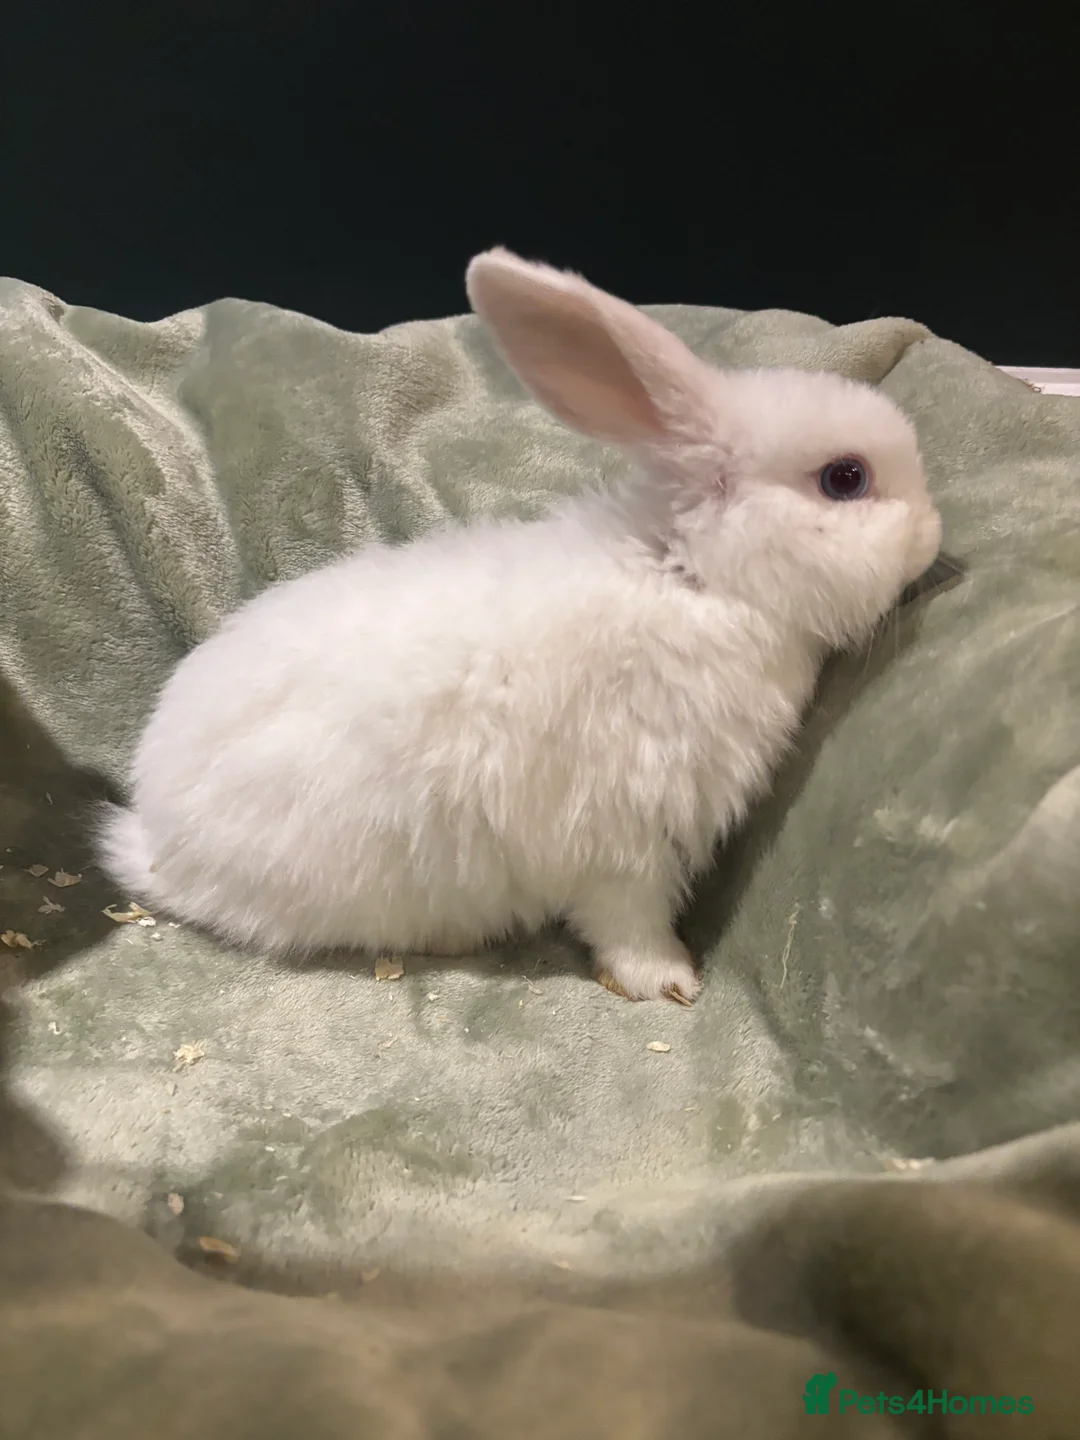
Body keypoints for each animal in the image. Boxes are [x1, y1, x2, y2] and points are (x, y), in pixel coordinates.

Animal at [98, 247, 942, 1004]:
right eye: (845, 478)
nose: (936, 535)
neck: (695, 576)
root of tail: (155, 840)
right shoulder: (624, 836)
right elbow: (629, 920)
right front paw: (669, 982)